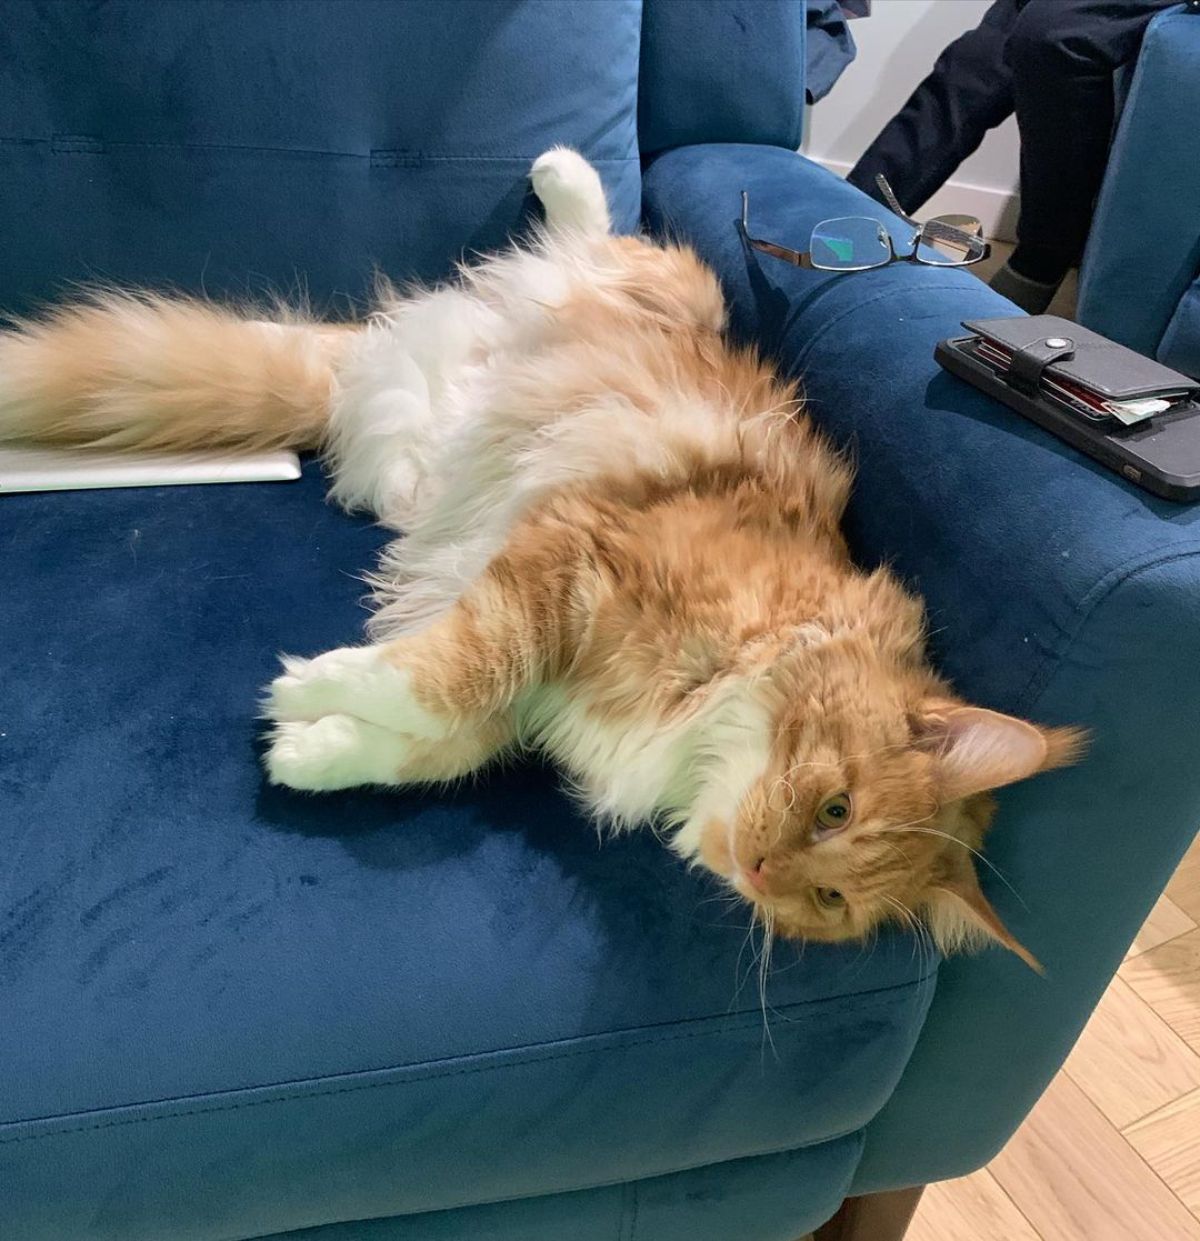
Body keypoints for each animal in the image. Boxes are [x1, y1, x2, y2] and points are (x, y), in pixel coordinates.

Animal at [0, 150, 1087, 967]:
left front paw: (310, 746)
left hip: (413, 438)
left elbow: (440, 736)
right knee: (594, 235)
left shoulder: (536, 691)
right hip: (671, 290)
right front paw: (308, 684)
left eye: (827, 898)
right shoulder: (570, 564)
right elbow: (445, 672)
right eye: (834, 807)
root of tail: (374, 371)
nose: (760, 872)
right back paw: (558, 173)